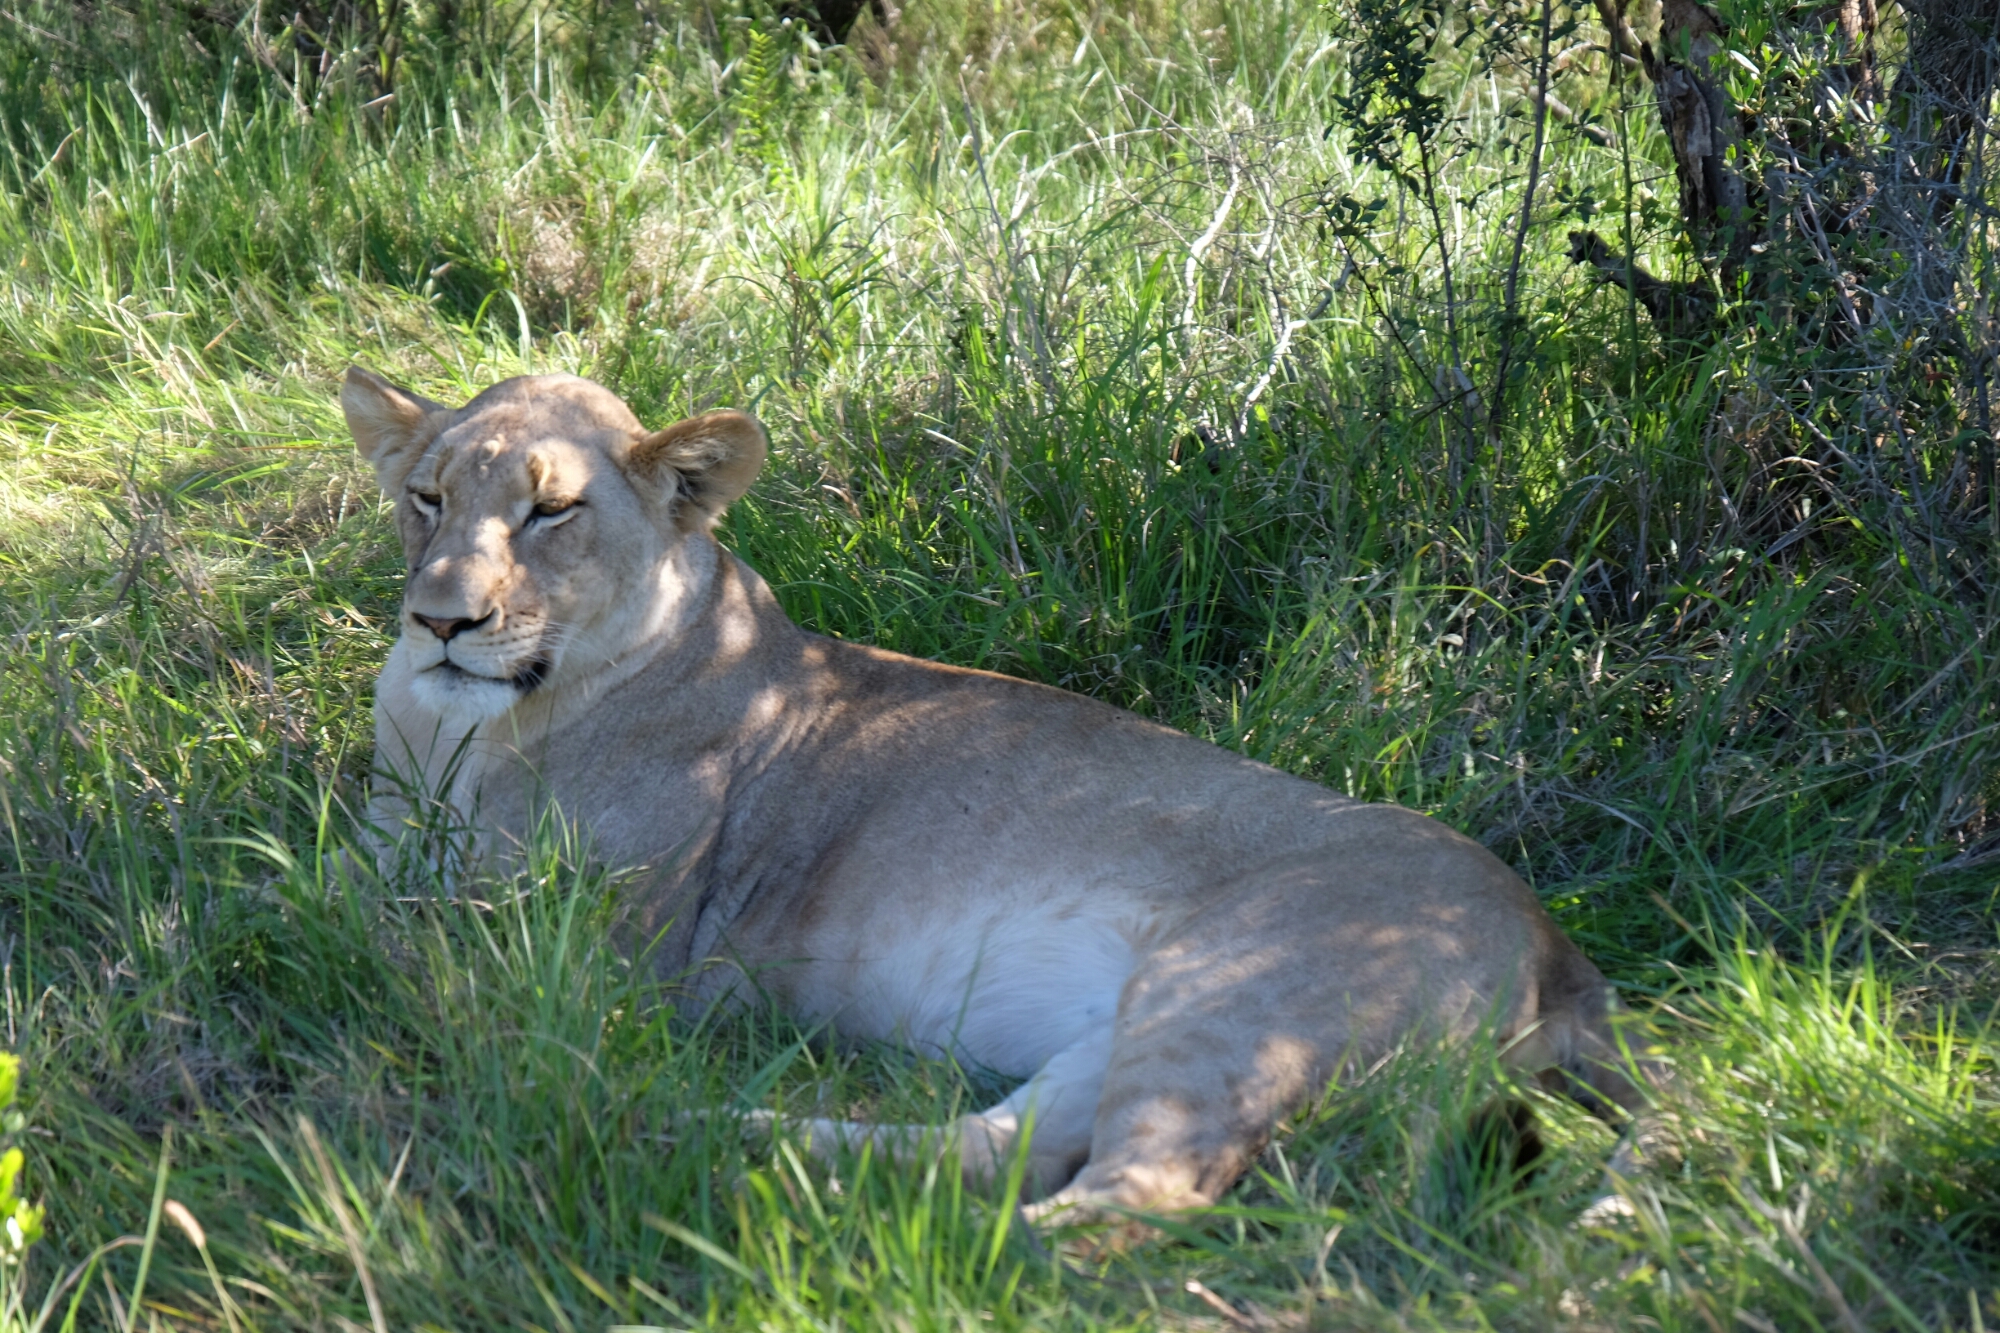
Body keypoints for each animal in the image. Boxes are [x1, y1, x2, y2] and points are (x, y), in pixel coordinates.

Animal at [340, 366, 1648, 1226]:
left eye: (550, 509)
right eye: (428, 499)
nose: (439, 619)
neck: (460, 732)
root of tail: (1558, 943)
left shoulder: (594, 949)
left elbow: (390, 952)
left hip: (1235, 988)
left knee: (1130, 1200)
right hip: (1141, 1023)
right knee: (997, 1151)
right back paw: (722, 1141)